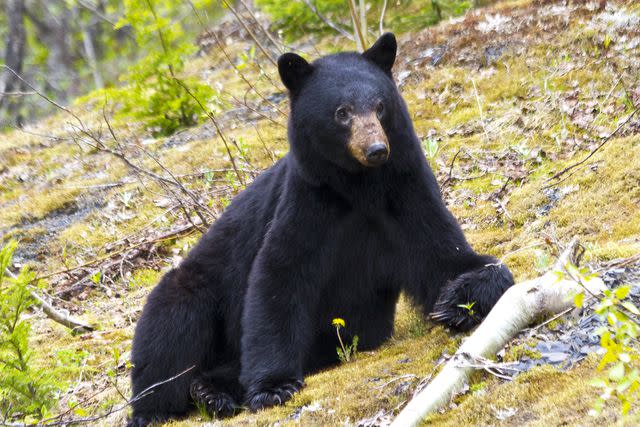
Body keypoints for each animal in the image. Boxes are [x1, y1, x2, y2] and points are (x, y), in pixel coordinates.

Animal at [129, 34, 516, 427]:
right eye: (341, 112)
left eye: (380, 106)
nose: (376, 149)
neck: (360, 187)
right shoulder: (307, 202)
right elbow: (278, 278)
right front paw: (273, 387)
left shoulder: (406, 191)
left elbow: (444, 255)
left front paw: (457, 303)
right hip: (193, 287)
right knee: (170, 331)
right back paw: (161, 406)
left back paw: (212, 391)